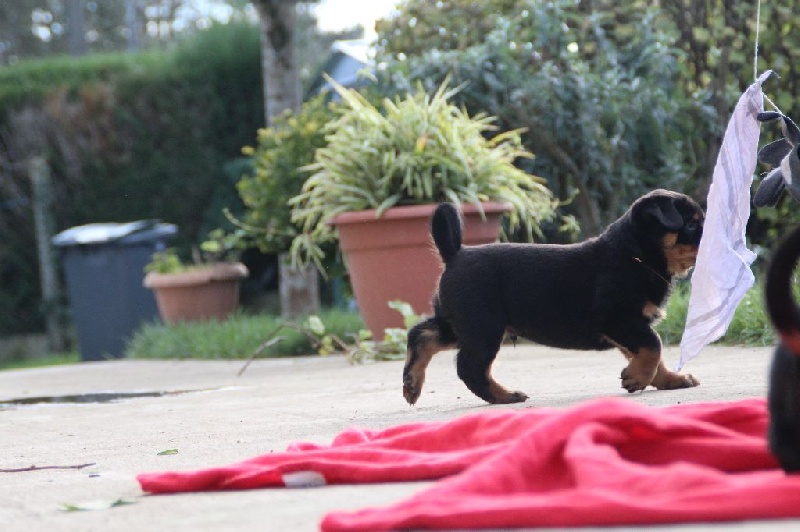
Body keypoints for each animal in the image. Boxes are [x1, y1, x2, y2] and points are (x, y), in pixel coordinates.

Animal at [403, 189, 705, 405]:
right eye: (691, 224)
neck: (636, 255)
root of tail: (455, 253)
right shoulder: (617, 319)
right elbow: (654, 344)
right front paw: (636, 379)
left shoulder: (630, 326)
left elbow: (651, 352)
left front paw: (669, 379)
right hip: (483, 326)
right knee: (471, 368)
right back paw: (505, 396)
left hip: (461, 324)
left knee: (422, 335)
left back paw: (412, 383)